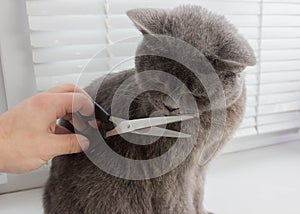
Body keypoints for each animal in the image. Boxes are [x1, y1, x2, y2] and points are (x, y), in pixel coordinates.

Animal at [44, 5, 255, 214]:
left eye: (195, 93)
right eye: (159, 81)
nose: (170, 106)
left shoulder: (202, 165)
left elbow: (198, 191)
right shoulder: (171, 176)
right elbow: (179, 203)